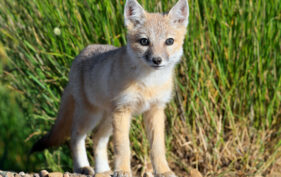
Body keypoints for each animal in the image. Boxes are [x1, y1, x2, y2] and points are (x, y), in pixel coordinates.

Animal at [31, 0, 188, 177]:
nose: (157, 60)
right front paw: (122, 170)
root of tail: (84, 51)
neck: (149, 83)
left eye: (169, 41)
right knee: (76, 136)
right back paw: (82, 167)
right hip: (91, 115)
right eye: (144, 41)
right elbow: (123, 147)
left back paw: (103, 169)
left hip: (107, 119)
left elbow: (157, 147)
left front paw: (163, 170)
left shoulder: (155, 110)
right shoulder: (122, 110)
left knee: (97, 139)